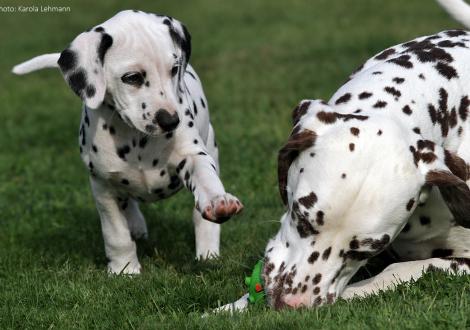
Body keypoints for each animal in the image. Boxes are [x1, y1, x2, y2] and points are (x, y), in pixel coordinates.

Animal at [12, 9, 244, 274]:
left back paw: (207, 251)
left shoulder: (192, 155)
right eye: (132, 78)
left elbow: (205, 178)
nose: (171, 121)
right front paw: (124, 269)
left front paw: (218, 201)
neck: (136, 138)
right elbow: (116, 233)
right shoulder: (103, 186)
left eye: (174, 69)